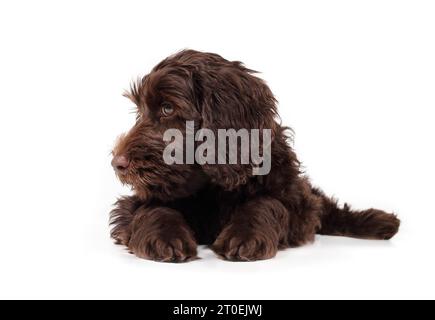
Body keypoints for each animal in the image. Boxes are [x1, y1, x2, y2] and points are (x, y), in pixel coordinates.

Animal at [110, 50, 402, 262]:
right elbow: (153, 207)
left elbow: (266, 203)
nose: (116, 164)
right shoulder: (138, 199)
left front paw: (244, 234)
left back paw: (381, 222)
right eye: (140, 111)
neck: (211, 185)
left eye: (168, 108)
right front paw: (165, 237)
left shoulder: (292, 199)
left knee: (329, 210)